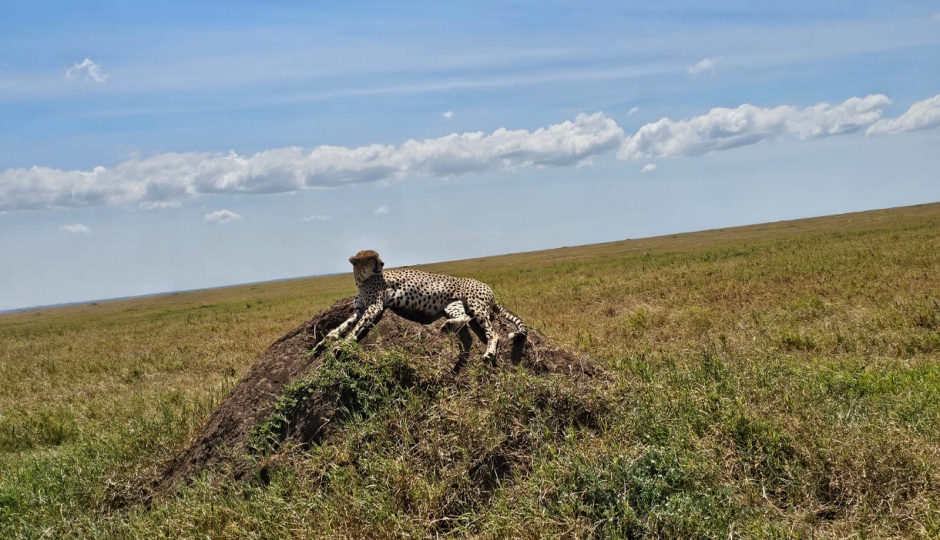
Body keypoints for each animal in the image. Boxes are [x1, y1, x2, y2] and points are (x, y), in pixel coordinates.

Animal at [318, 250, 528, 362]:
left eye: (378, 257)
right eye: (372, 258)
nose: (383, 263)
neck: (362, 281)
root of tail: (488, 286)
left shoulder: (374, 307)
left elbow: (355, 328)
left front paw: (343, 344)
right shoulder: (360, 310)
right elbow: (345, 324)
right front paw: (327, 339)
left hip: (475, 304)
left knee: (493, 332)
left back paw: (489, 351)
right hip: (453, 304)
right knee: (465, 318)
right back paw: (448, 325)